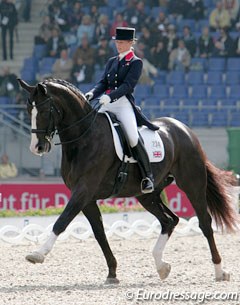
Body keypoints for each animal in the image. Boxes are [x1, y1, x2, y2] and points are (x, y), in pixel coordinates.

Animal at [17, 78, 238, 282]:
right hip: (146, 194)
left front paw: (38, 254)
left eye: (44, 111)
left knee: (205, 223)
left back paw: (219, 271)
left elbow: (62, 221)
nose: (37, 148)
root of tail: (183, 128)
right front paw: (112, 273)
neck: (84, 138)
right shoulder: (87, 198)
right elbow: (99, 233)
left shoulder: (84, 190)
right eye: (28, 110)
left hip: (192, 183)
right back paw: (162, 266)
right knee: (169, 220)